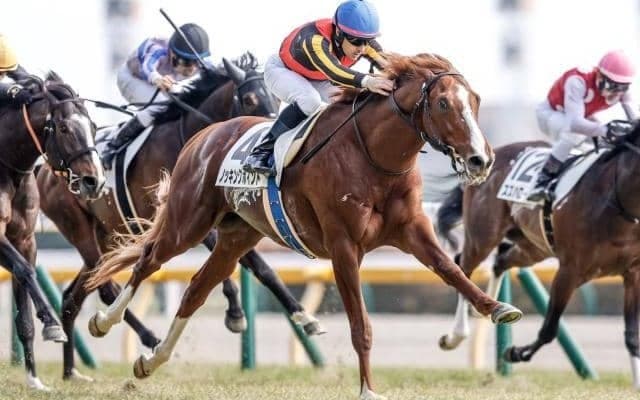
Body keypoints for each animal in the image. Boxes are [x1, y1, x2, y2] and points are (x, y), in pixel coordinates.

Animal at [0, 71, 103, 390]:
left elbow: (24, 290)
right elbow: (25, 271)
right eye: (64, 127)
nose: (95, 181)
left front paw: (34, 379)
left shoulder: (24, 240)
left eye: (93, 126)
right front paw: (52, 326)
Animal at [36, 53, 321, 381]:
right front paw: (236, 314)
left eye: (274, 98)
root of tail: (45, 168)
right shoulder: (193, 216)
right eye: (249, 99)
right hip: (79, 227)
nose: (269, 135)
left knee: (75, 295)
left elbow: (260, 268)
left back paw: (71, 370)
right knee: (105, 287)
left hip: (109, 237)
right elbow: (251, 264)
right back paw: (144, 337)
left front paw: (305, 316)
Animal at [84, 53, 523, 399]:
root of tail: (203, 135)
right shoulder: (343, 246)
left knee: (195, 289)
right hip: (188, 222)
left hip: (237, 236)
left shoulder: (413, 231)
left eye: (476, 101)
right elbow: (360, 324)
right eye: (445, 104)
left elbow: (452, 270)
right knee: (148, 261)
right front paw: (368, 390)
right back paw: (103, 322)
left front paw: (498, 308)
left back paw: (151, 360)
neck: (372, 155)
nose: (481, 159)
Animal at [436, 121, 640, 388]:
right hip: (483, 236)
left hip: (533, 247)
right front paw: (515, 352)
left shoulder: (633, 274)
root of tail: (492, 154)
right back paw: (456, 335)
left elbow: (632, 336)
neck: (616, 200)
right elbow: (549, 329)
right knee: (463, 265)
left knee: (501, 260)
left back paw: (485, 308)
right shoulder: (569, 271)